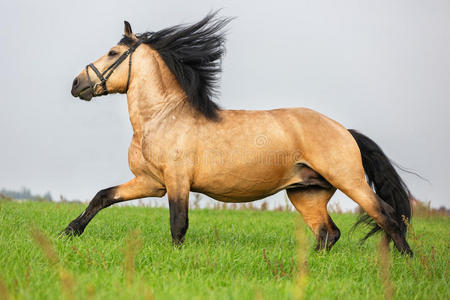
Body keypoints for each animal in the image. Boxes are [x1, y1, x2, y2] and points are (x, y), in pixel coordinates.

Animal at [65, 12, 414, 255]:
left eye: (112, 53)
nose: (76, 83)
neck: (163, 118)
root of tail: (344, 130)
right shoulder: (152, 183)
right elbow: (103, 196)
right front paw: (69, 231)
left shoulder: (177, 181)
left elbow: (178, 223)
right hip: (307, 193)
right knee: (328, 233)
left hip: (349, 181)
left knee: (387, 216)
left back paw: (407, 263)